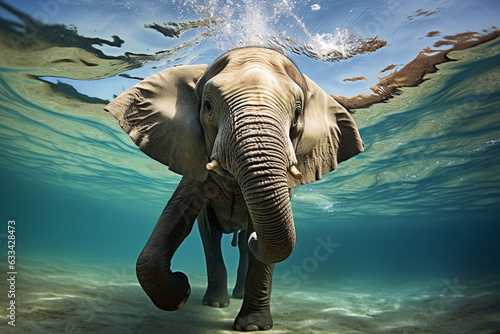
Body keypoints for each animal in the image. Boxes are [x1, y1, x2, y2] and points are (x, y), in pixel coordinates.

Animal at [104, 47, 364, 332]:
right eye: (207, 106)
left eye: (297, 112)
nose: (182, 279)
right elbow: (180, 218)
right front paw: (185, 292)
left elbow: (260, 244)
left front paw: (253, 327)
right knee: (215, 237)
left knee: (242, 246)